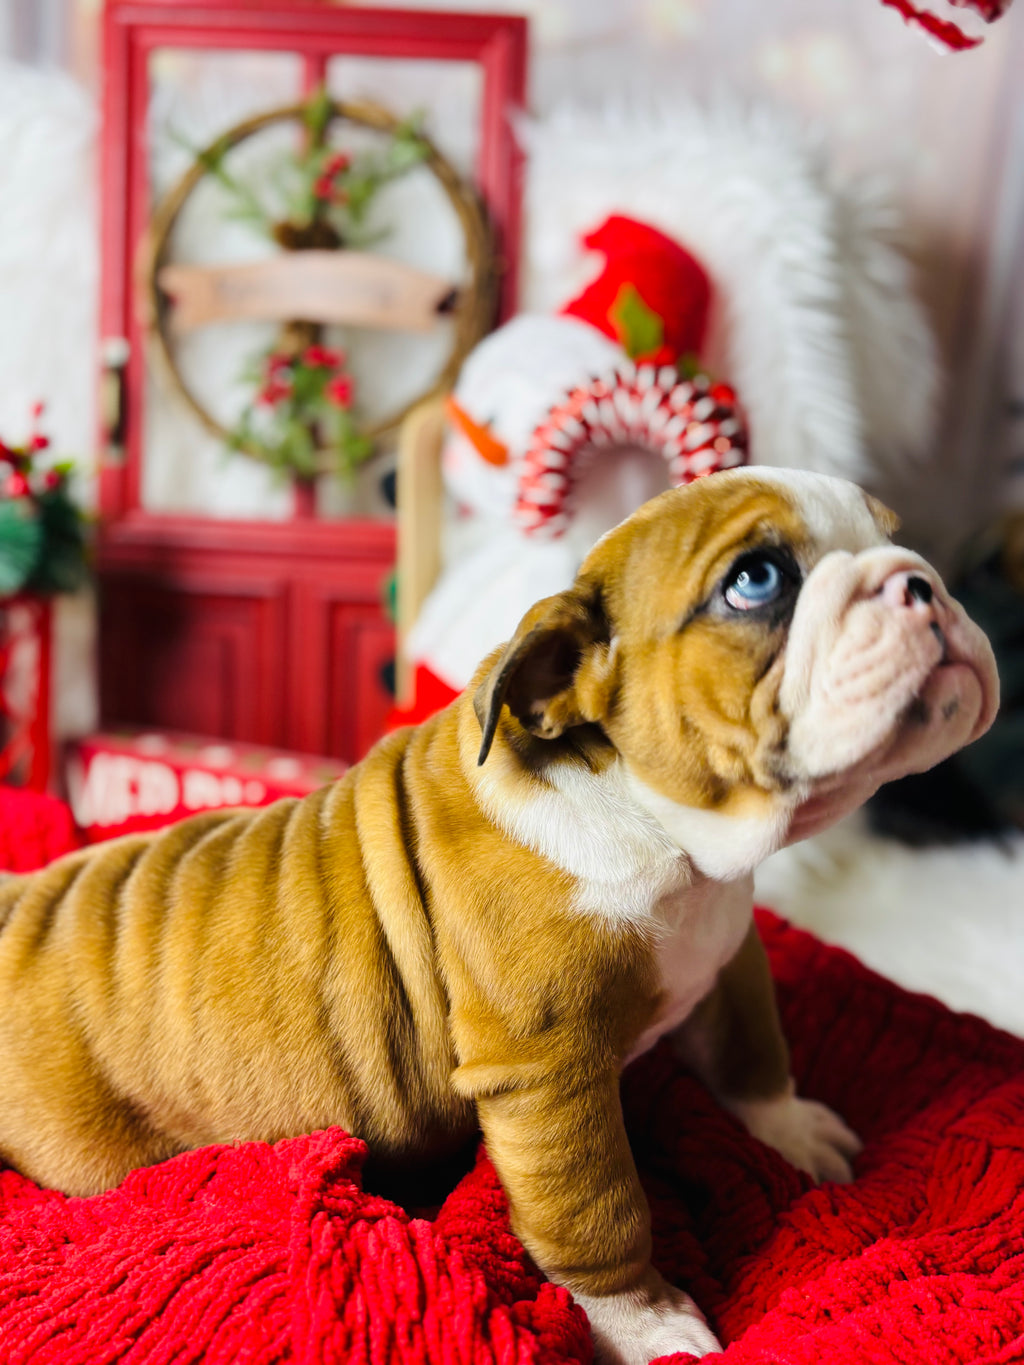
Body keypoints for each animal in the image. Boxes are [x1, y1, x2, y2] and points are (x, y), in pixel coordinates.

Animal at [0, 472, 999, 1365]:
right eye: (756, 579)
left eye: (892, 536)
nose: (919, 579)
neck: (669, 835)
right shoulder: (548, 1073)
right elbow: (598, 1208)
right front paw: (645, 1322)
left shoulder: (728, 958)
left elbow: (754, 1052)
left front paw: (791, 1129)